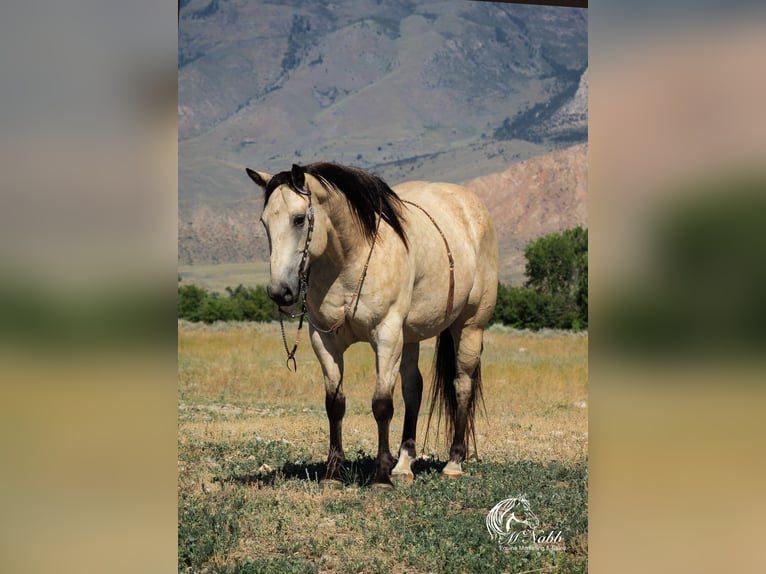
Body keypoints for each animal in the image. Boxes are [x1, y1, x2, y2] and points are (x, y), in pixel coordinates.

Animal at [246, 162, 498, 490]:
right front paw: (333, 474)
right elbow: (335, 404)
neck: (349, 259)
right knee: (413, 389)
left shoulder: (387, 336)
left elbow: (382, 405)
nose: (280, 292)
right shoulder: (325, 340)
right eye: (264, 222)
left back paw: (453, 462)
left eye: (299, 219)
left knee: (461, 385)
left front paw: (381, 478)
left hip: (468, 327)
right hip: (411, 337)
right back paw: (404, 465)